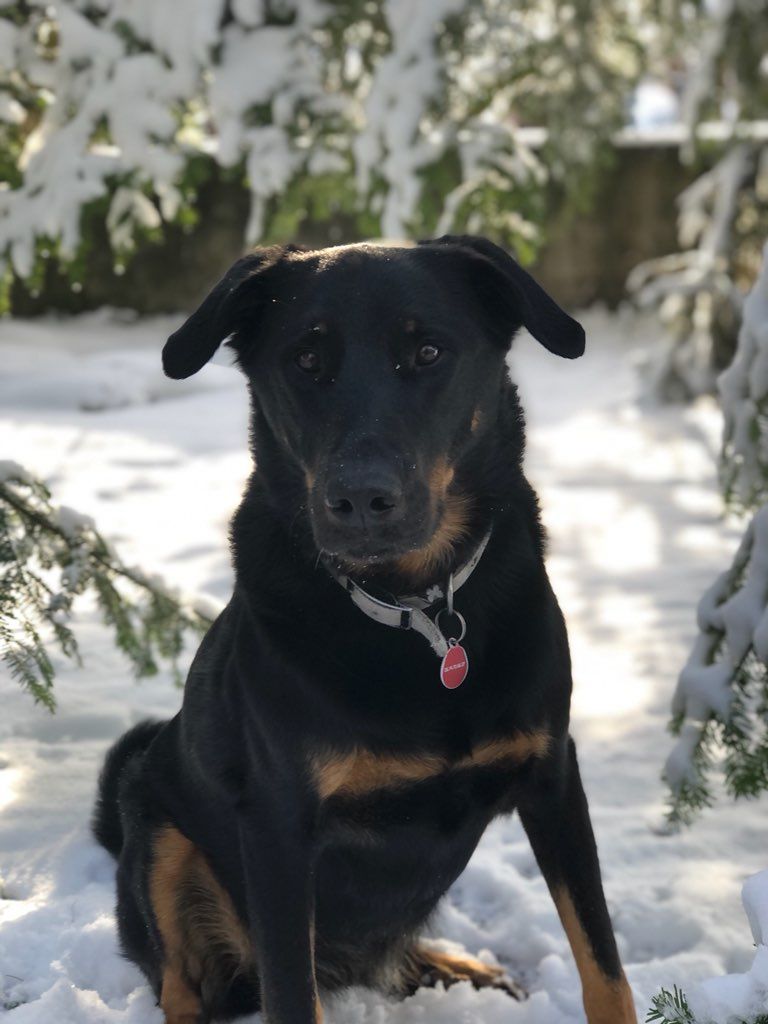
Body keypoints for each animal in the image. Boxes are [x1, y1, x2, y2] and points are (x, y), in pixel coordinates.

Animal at [93, 235, 636, 1024]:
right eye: (306, 360)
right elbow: (292, 995)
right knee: (181, 984)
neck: (417, 609)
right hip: (157, 825)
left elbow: (604, 967)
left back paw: (461, 968)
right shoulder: (280, 827)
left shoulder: (553, 776)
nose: (359, 498)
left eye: (429, 352)